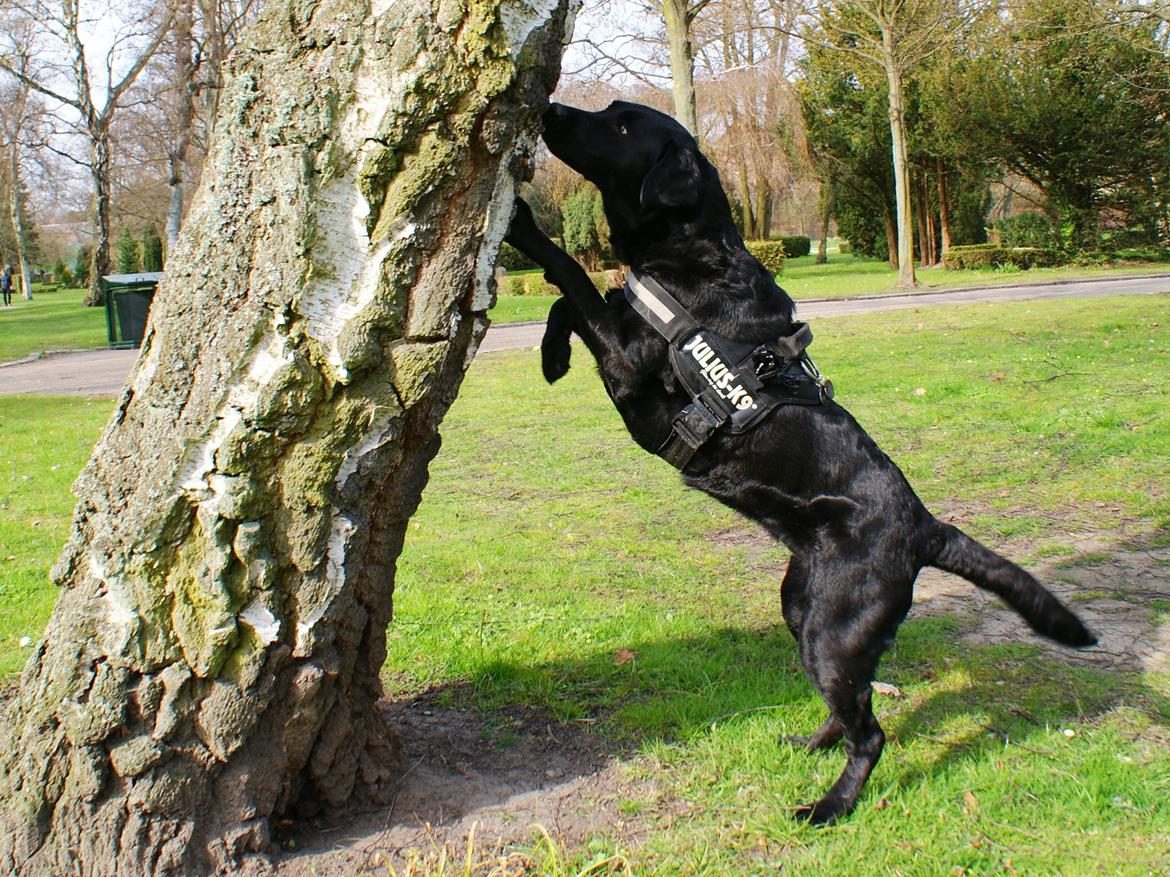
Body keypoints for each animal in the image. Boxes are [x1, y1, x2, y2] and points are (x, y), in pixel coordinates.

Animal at [503, 99, 1095, 827]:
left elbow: (570, 272)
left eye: (618, 123)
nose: (551, 108)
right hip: (802, 603)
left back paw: (830, 806)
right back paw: (811, 745)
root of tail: (926, 527)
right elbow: (571, 299)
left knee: (872, 732)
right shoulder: (616, 337)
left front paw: (522, 225)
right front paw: (551, 358)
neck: (693, 252)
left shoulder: (628, 358)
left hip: (831, 628)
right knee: (856, 704)